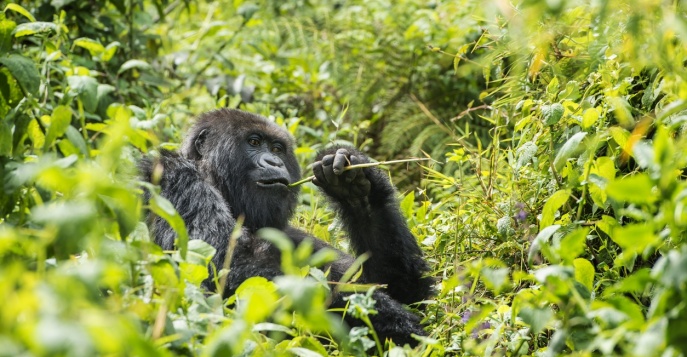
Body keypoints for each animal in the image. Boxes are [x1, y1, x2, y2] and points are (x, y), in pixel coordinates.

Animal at [138, 108, 436, 344]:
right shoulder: (175, 178)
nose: (274, 161)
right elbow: (224, 265)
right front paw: (395, 323)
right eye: (254, 142)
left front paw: (355, 186)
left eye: (277, 149)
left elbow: (405, 290)